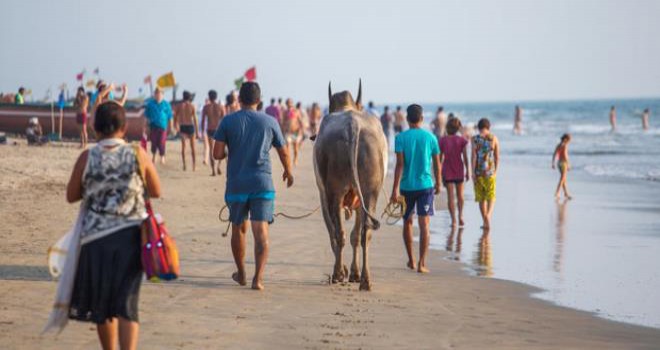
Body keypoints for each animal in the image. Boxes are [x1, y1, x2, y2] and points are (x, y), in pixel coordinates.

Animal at [314, 80, 386, 292]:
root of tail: (352, 125)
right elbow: (355, 235)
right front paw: (353, 273)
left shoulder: (323, 195)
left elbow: (333, 232)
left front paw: (348, 272)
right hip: (370, 192)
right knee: (364, 232)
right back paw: (365, 279)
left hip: (334, 192)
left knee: (339, 233)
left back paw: (339, 273)